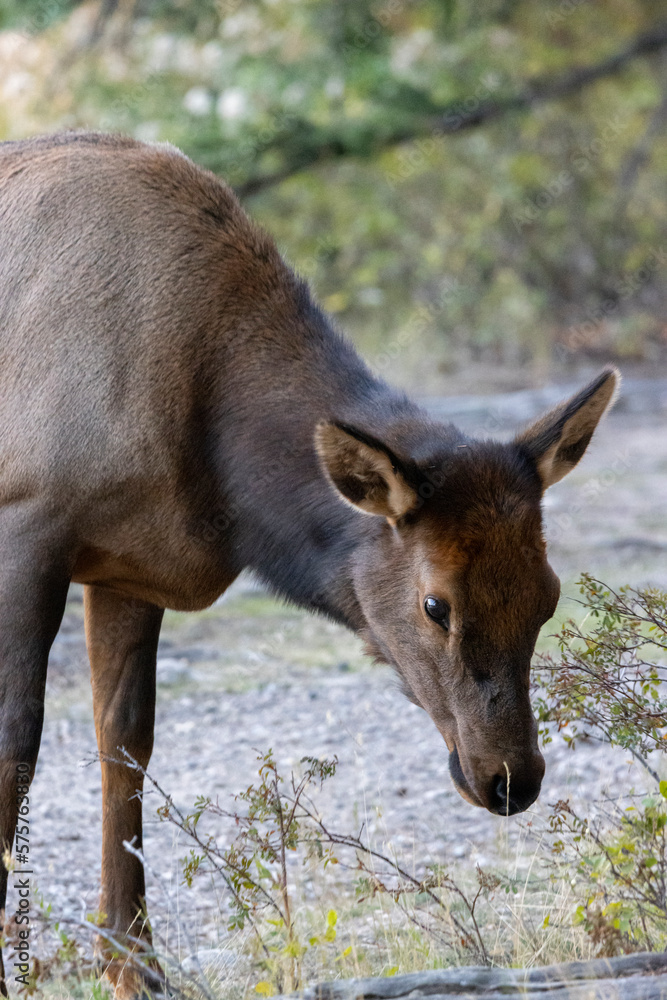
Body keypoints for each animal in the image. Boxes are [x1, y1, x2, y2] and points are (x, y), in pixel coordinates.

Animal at [0, 131, 618, 998]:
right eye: (435, 604)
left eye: (548, 597)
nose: (511, 778)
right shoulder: (28, 520)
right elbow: (18, 744)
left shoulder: (128, 566)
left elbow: (122, 745)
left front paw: (135, 968)